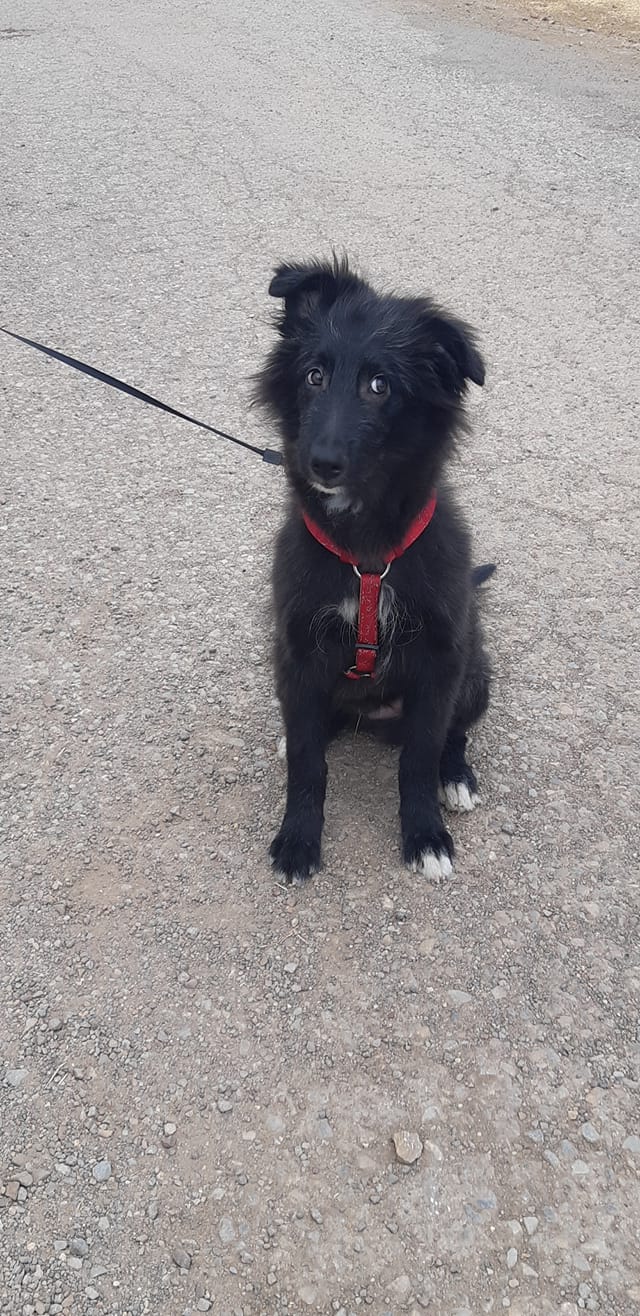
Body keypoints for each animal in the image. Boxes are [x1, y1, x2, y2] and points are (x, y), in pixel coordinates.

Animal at [256, 256, 494, 883]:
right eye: (314, 375)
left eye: (380, 386)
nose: (321, 463)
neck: (366, 556)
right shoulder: (298, 651)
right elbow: (307, 761)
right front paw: (298, 839)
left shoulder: (439, 662)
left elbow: (420, 758)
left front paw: (426, 837)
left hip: (474, 674)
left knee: (452, 736)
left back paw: (456, 777)